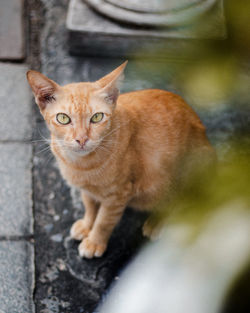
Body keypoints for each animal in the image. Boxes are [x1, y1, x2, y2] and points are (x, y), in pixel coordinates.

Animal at [26, 61, 215, 258]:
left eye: (97, 117)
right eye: (63, 118)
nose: (82, 139)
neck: (81, 165)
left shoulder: (117, 195)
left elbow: (103, 221)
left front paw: (94, 242)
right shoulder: (87, 191)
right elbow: (90, 207)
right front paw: (86, 226)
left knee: (176, 205)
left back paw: (156, 223)